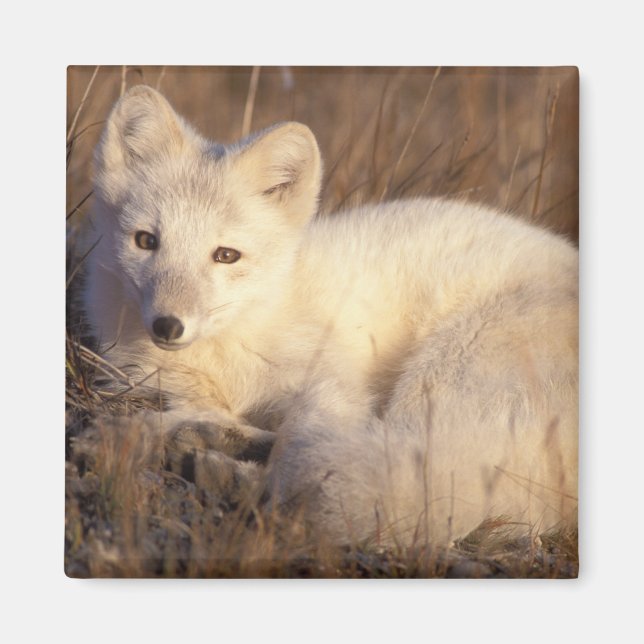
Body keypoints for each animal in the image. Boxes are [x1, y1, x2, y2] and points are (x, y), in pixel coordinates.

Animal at [82, 85, 578, 547]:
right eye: (146, 241)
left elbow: (299, 443)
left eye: (226, 255)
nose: (168, 325)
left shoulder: (332, 384)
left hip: (442, 378)